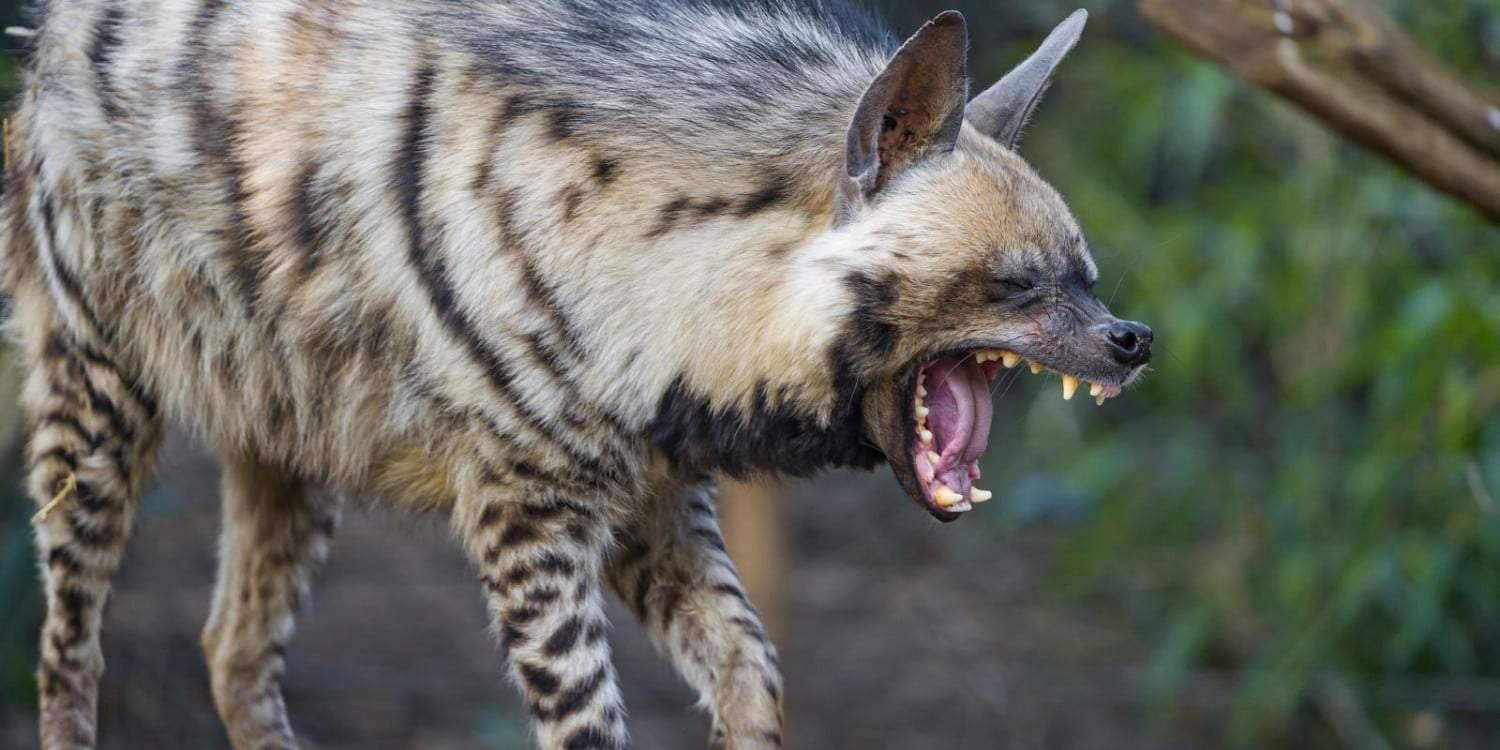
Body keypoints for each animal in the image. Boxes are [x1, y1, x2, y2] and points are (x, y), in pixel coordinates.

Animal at [3, 0, 1152, 747]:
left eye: (1088, 276)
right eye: (1018, 282)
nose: (1134, 339)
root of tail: (57, 29)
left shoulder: (655, 498)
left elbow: (754, 672)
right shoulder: (526, 514)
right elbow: (590, 721)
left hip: (290, 431)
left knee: (233, 648)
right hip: (96, 396)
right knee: (70, 650)